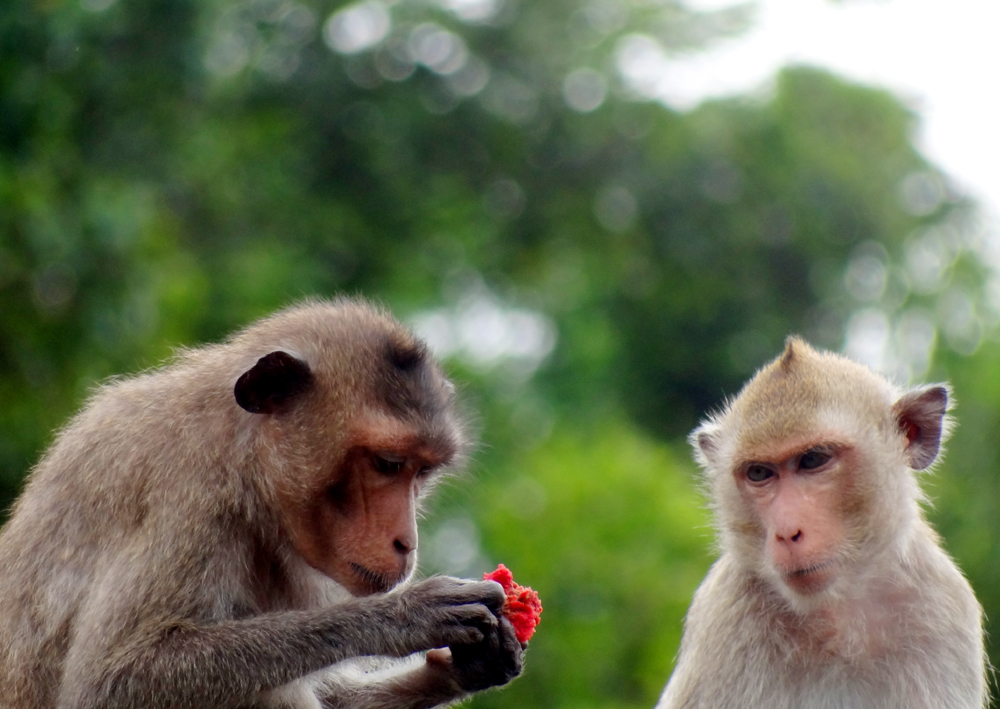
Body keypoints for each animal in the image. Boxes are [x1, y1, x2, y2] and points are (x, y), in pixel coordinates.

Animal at [0, 298, 528, 708]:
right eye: (387, 463)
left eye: (421, 472)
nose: (406, 542)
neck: (243, 458)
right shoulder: (189, 497)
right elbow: (111, 680)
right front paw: (403, 616)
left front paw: (473, 664)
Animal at [660, 336, 988, 708]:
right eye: (759, 473)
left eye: (813, 460)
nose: (787, 531)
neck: (839, 618)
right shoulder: (725, 614)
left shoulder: (943, 608)